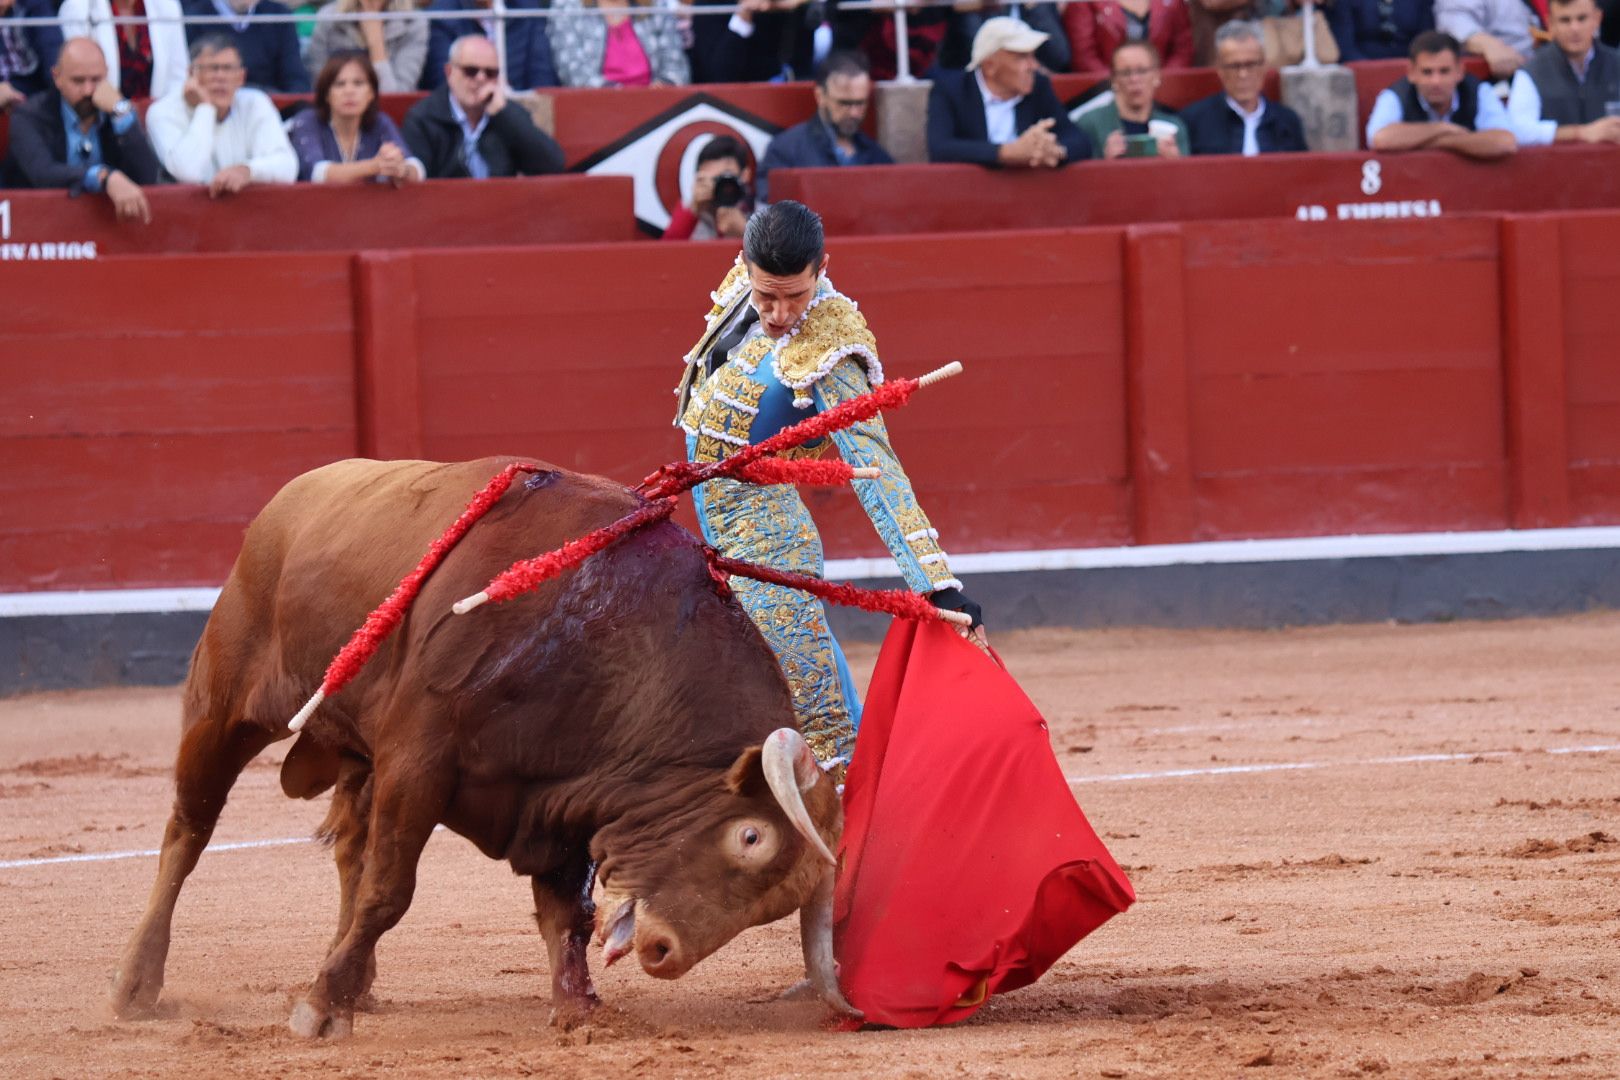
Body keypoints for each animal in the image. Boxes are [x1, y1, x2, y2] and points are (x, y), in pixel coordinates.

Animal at [107, 456, 855, 1036]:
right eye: (750, 837)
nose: (665, 951)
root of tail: (289, 498)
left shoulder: (563, 797)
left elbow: (567, 913)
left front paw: (578, 1010)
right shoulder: (420, 757)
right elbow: (391, 891)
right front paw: (318, 1009)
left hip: (358, 754)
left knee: (349, 848)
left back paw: (358, 981)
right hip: (224, 708)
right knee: (189, 831)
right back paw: (136, 986)